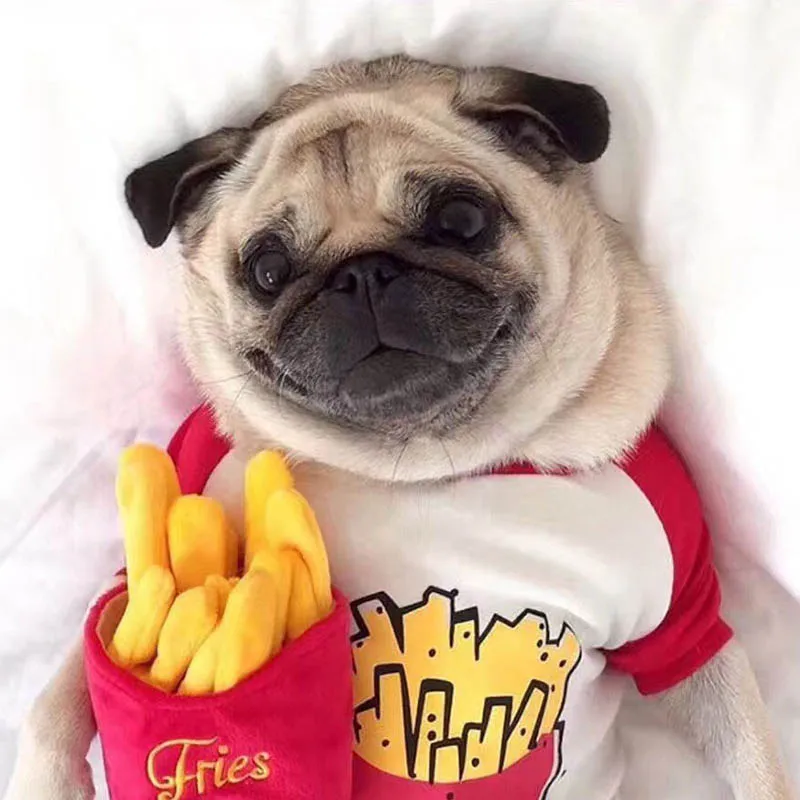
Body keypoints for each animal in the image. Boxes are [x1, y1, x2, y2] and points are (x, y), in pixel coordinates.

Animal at [6, 55, 793, 800]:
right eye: (267, 270)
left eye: (462, 221)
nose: (361, 273)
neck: (423, 459)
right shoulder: (177, 487)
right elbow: (59, 696)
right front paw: (46, 779)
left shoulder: (682, 615)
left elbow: (755, 754)